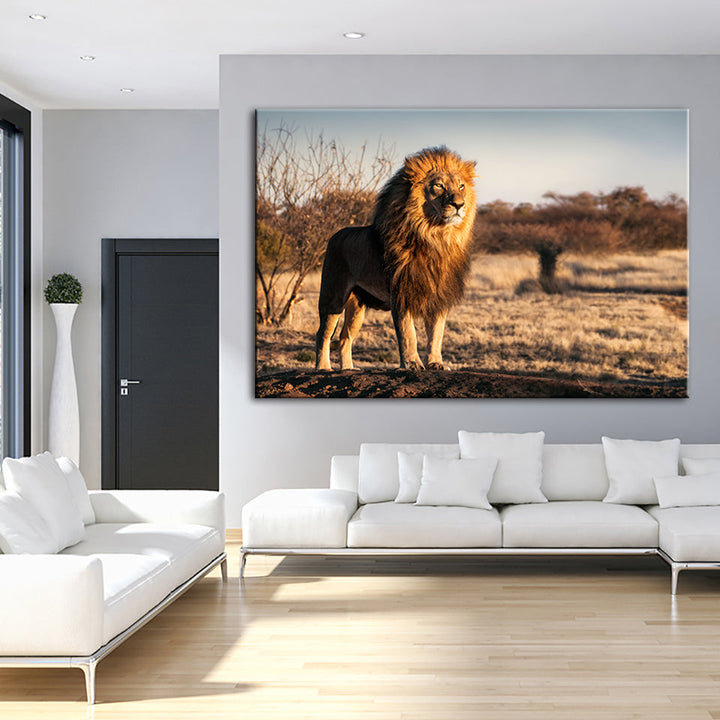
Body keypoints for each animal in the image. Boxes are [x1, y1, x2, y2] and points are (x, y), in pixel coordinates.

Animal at [315, 146, 477, 371]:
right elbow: (408, 333)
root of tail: (335, 235)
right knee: (323, 334)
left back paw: (348, 369)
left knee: (345, 337)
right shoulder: (401, 292)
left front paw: (436, 363)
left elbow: (436, 334)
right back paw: (323, 368)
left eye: (461, 186)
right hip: (333, 297)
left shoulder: (439, 295)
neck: (435, 237)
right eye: (439, 185)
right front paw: (412, 364)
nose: (459, 204)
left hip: (357, 306)